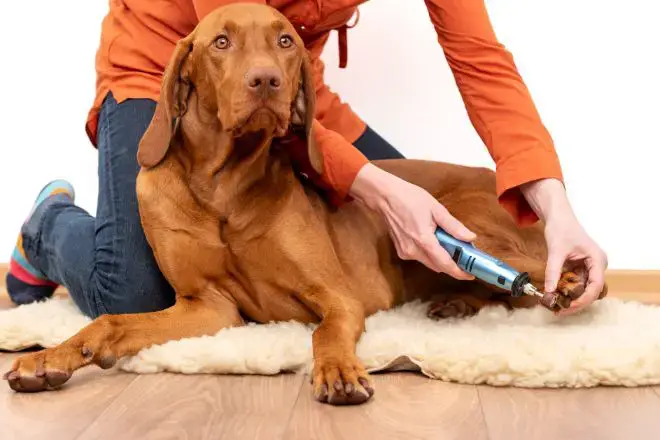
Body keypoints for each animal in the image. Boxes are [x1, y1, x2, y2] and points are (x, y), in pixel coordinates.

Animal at [2, 3, 604, 404]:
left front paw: (338, 371)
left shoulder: (337, 297)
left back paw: (565, 281)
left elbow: (323, 332)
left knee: (539, 275)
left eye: (285, 42)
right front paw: (49, 358)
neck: (223, 187)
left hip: (470, 223)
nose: (267, 80)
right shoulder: (209, 308)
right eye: (221, 43)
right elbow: (110, 322)